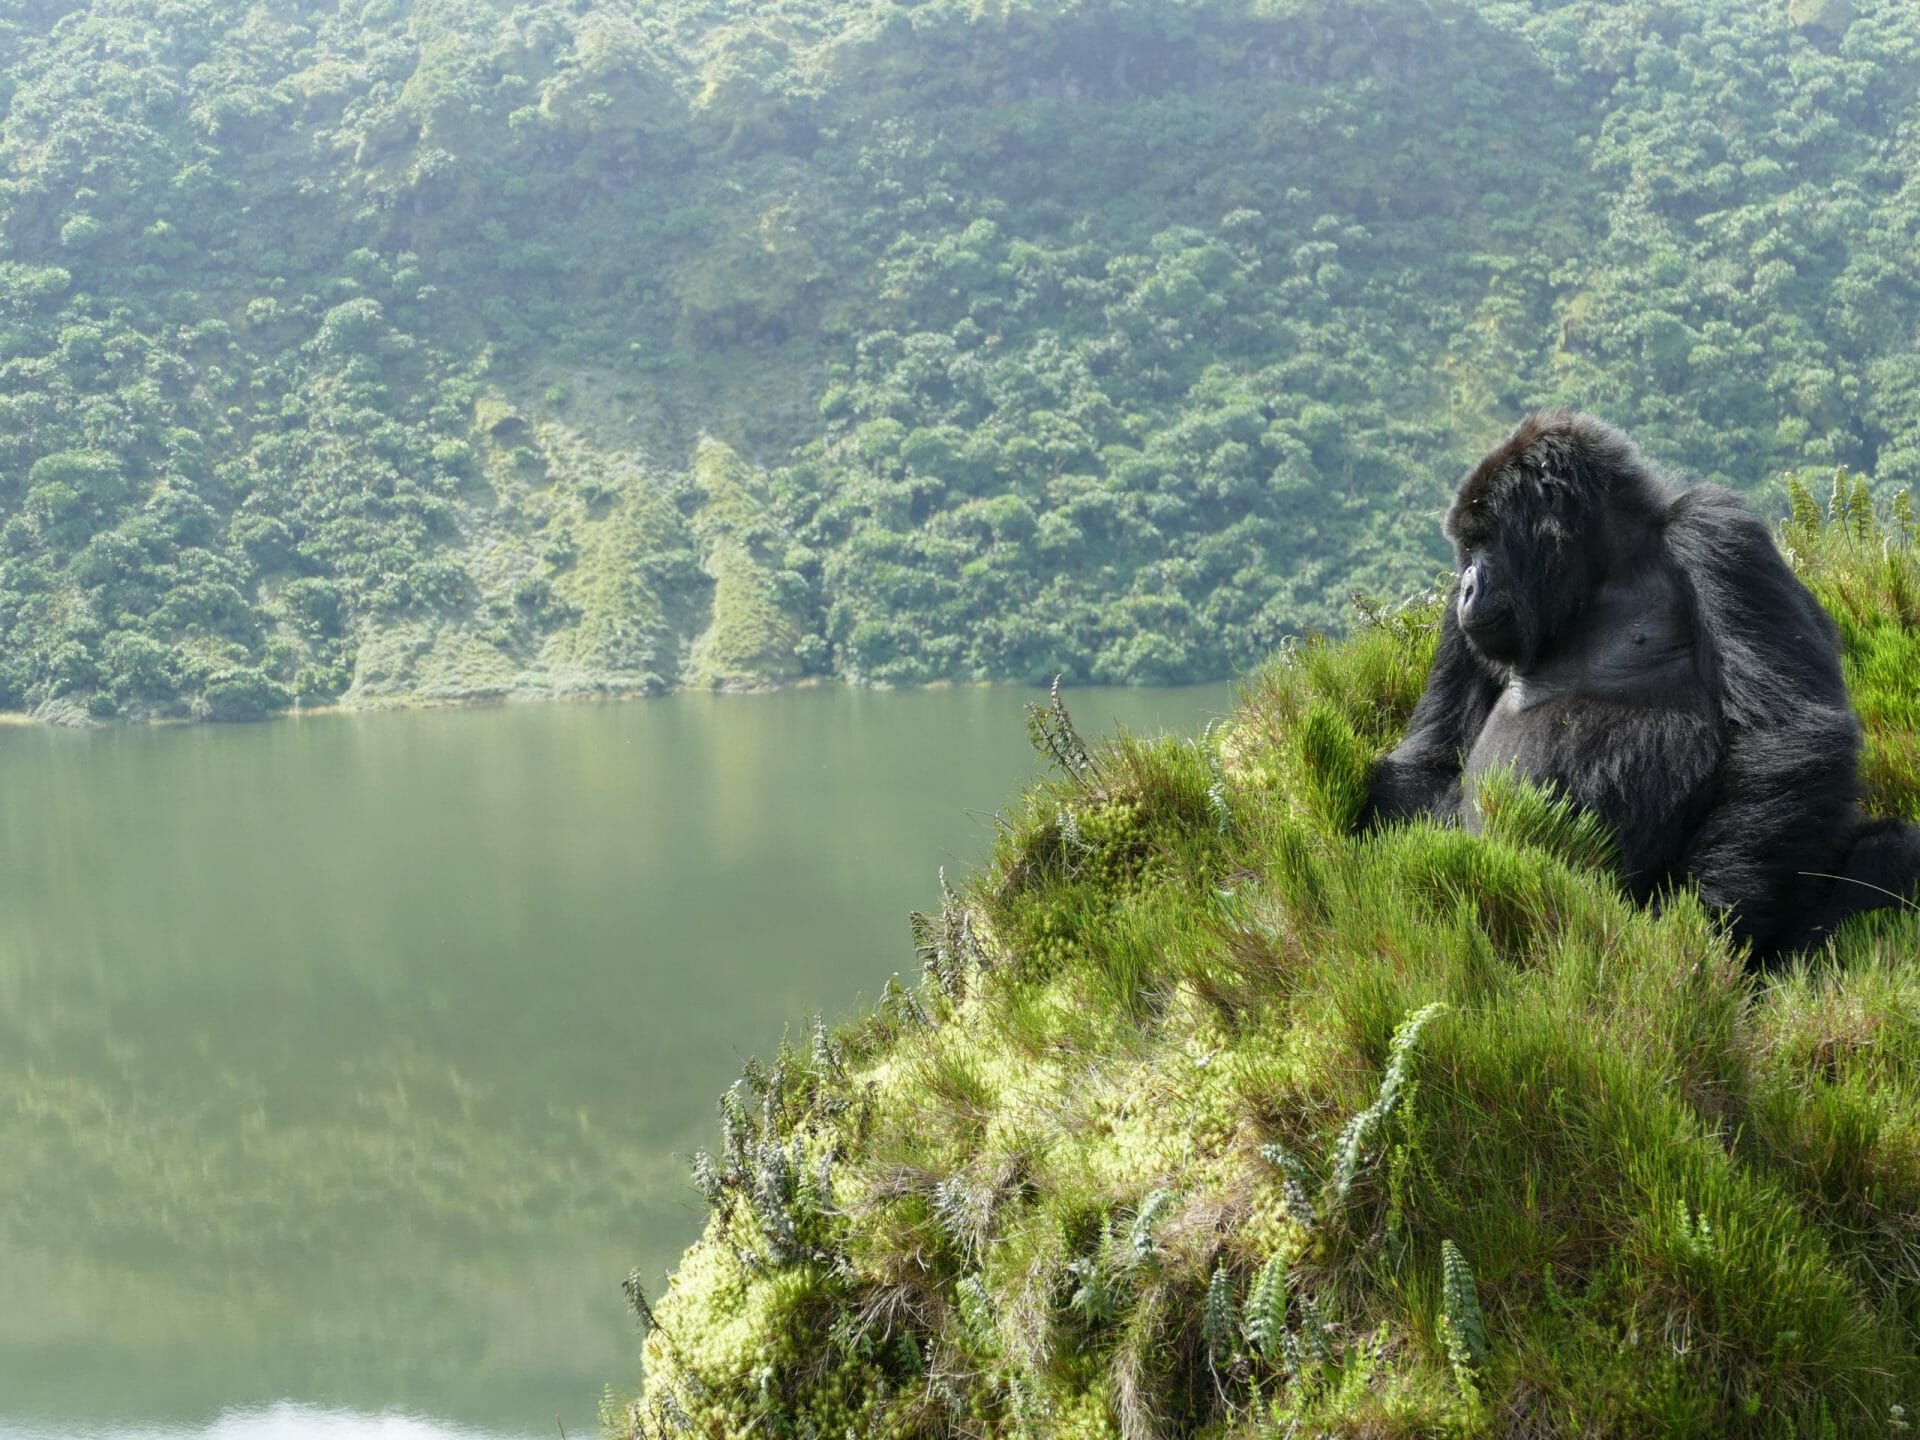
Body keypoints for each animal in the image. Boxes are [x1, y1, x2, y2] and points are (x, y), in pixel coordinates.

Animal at [1367, 410, 1920, 963]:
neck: (1602, 569)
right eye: (1469, 547)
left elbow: (1788, 728)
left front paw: (1699, 927)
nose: (1465, 585)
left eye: (1486, 541)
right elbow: (1431, 762)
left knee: (1889, 847)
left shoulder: (1717, 530)